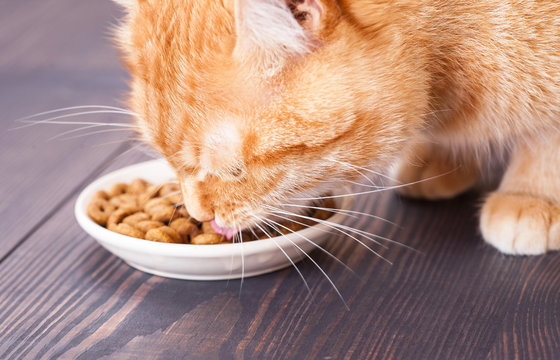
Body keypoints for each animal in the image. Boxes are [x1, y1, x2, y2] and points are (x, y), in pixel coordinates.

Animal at [111, 0, 556, 255]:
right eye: (168, 160)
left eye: (233, 170)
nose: (199, 214)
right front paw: (441, 160)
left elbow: (546, 136)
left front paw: (531, 194)